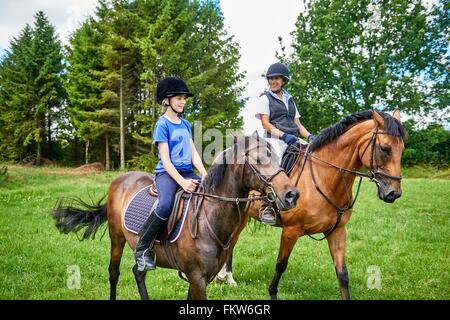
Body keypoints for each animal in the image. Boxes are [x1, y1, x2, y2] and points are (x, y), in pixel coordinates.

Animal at [52, 133, 298, 300]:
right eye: (257, 160)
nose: (292, 194)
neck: (208, 219)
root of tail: (120, 180)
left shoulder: (202, 278)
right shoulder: (197, 278)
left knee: (138, 272)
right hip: (117, 238)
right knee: (114, 273)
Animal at [216, 110, 406, 300]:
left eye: (402, 149)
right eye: (385, 148)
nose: (393, 193)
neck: (324, 179)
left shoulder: (337, 231)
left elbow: (342, 274)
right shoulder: (291, 230)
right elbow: (281, 264)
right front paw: (272, 293)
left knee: (231, 243)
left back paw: (226, 278)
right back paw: (225, 277)